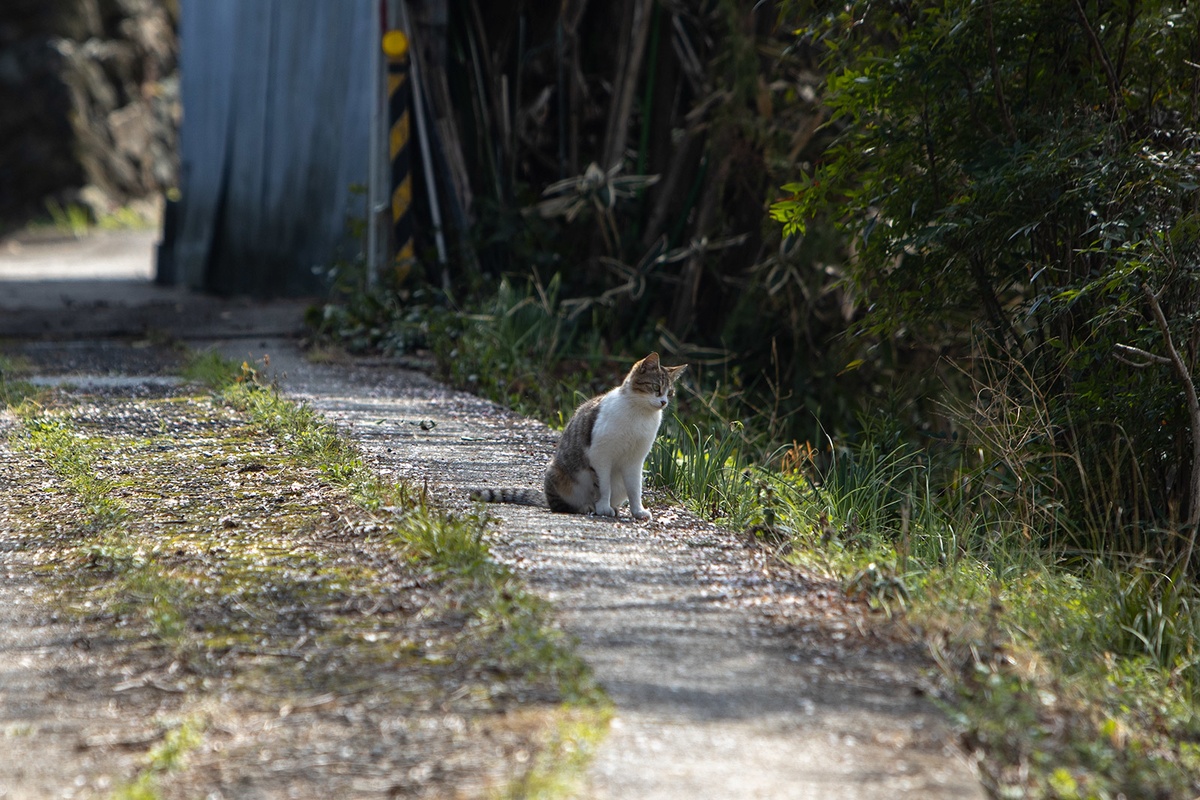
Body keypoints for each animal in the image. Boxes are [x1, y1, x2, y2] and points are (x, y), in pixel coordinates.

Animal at [472, 352, 691, 522]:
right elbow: (603, 487)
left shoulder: (635, 461)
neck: (640, 415)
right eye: (656, 388)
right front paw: (603, 507)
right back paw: (586, 507)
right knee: (561, 505)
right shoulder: (600, 455)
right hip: (557, 474)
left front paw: (637, 511)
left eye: (670, 393)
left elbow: (635, 489)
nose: (663, 402)